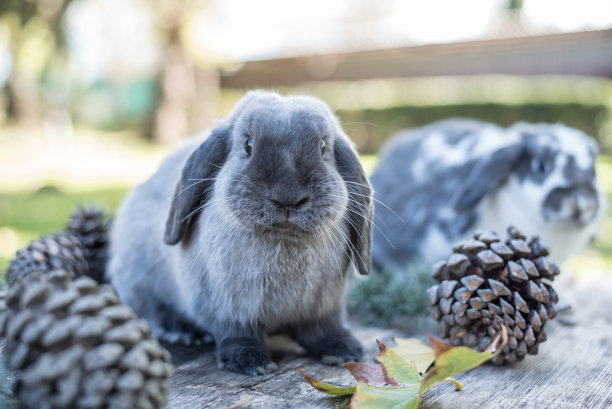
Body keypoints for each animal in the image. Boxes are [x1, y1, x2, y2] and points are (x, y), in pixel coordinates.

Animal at [106, 91, 372, 374]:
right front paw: (250, 361)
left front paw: (343, 350)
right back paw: (183, 332)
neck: (282, 239)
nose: (288, 198)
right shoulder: (229, 307)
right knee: (154, 312)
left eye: (323, 147)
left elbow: (323, 329)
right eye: (248, 145)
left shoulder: (322, 307)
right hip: (140, 282)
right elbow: (237, 332)